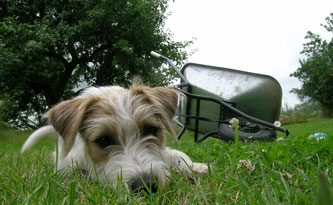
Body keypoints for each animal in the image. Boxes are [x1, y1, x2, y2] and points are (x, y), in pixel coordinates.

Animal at [20, 83, 208, 192]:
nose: (146, 186)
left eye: (150, 130)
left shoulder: (163, 149)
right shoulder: (68, 163)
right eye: (103, 140)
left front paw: (194, 168)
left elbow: (177, 154)